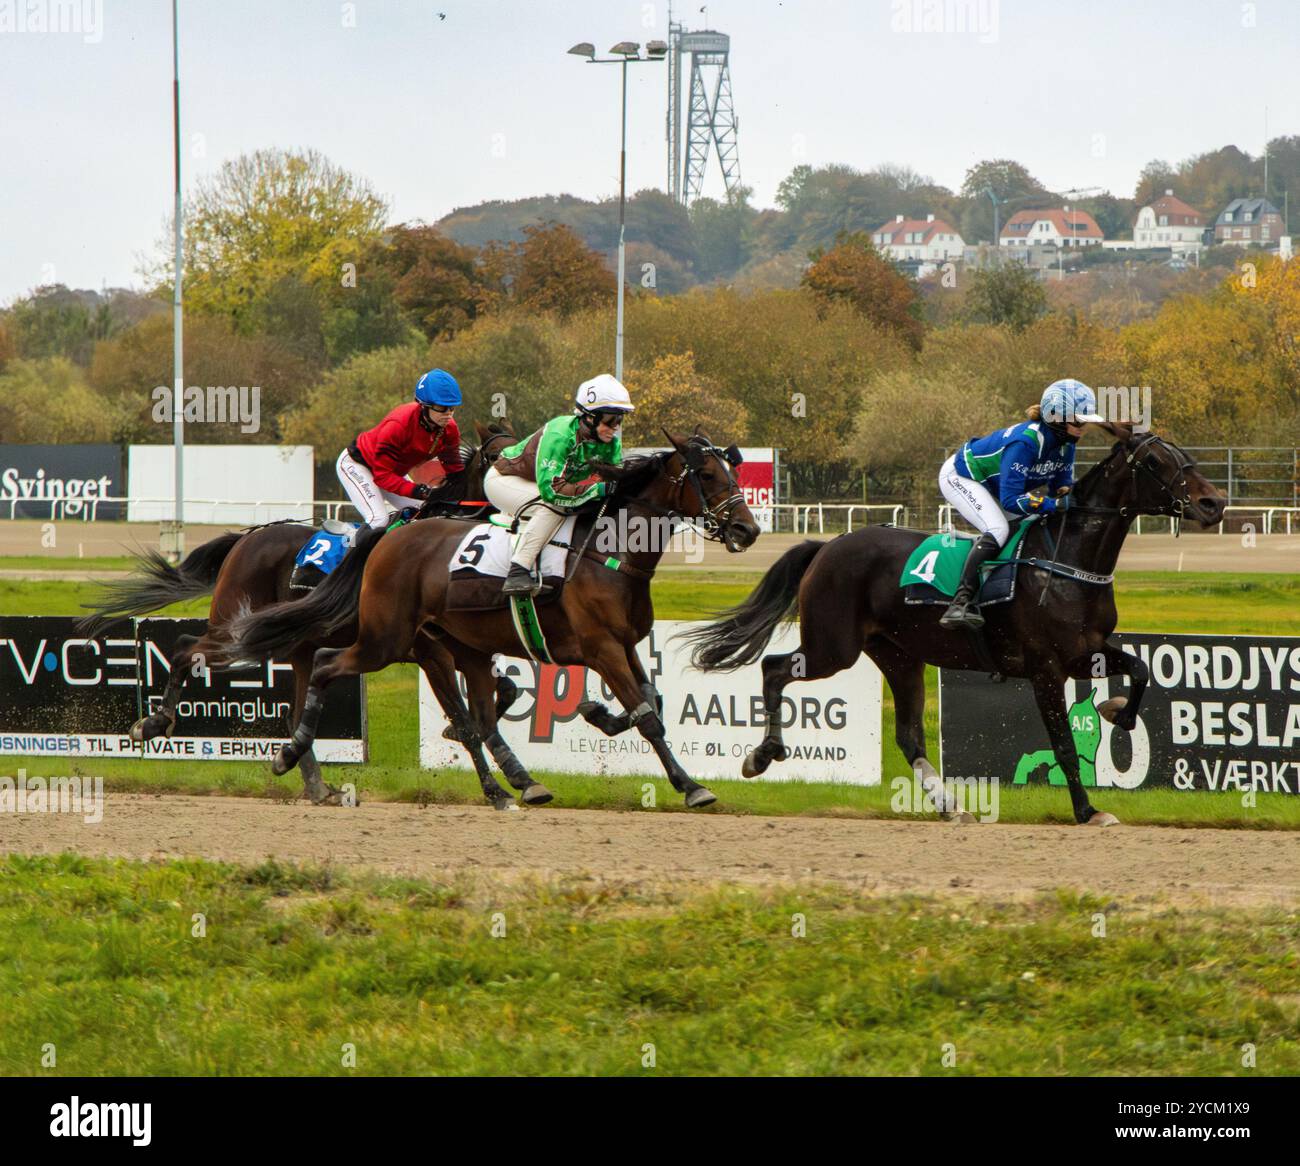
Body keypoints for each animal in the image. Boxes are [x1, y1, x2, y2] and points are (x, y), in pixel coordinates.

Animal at [77, 423, 517, 805]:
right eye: (497, 456)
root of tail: (249, 537)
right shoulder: (429, 651)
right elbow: (469, 722)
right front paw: (495, 788)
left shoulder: (454, 646)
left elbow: (505, 692)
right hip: (238, 623)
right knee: (187, 648)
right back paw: (152, 724)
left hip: (300, 645)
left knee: (292, 713)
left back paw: (316, 785)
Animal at [223, 426, 759, 811]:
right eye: (708, 475)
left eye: (733, 471)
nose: (747, 529)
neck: (608, 552)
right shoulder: (601, 648)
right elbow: (647, 718)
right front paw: (691, 786)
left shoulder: (624, 644)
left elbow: (649, 703)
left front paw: (597, 714)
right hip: (389, 639)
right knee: (327, 665)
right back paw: (288, 756)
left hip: (460, 647)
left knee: (472, 711)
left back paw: (508, 788)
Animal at [681, 423, 1227, 821]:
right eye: (1156, 463)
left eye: (1186, 455)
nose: (1214, 502)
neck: (1067, 561)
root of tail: (829, 546)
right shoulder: (1046, 668)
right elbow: (1065, 746)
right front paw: (1088, 810)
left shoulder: (1086, 652)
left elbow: (1140, 669)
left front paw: (1119, 713)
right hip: (833, 647)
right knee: (774, 668)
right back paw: (762, 755)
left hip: (899, 657)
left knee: (908, 735)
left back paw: (949, 805)